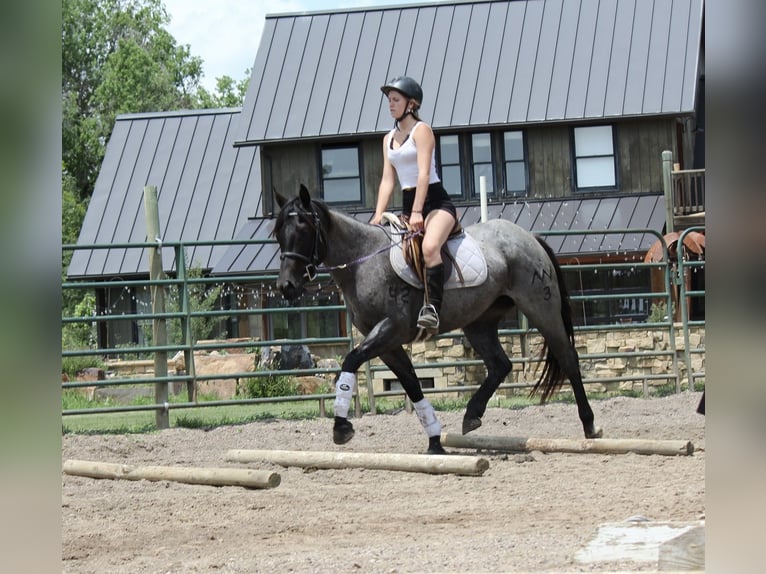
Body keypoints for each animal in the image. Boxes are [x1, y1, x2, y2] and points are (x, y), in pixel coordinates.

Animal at [273, 185, 602, 454]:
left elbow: (351, 360)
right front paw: (434, 441)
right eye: (278, 232)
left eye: (303, 228)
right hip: (479, 322)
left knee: (567, 357)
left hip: (540, 307)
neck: (364, 261)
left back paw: (590, 426)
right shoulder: (386, 342)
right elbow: (411, 384)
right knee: (500, 364)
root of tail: (529, 237)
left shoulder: (390, 330)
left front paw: (341, 427)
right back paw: (471, 416)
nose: (286, 286)